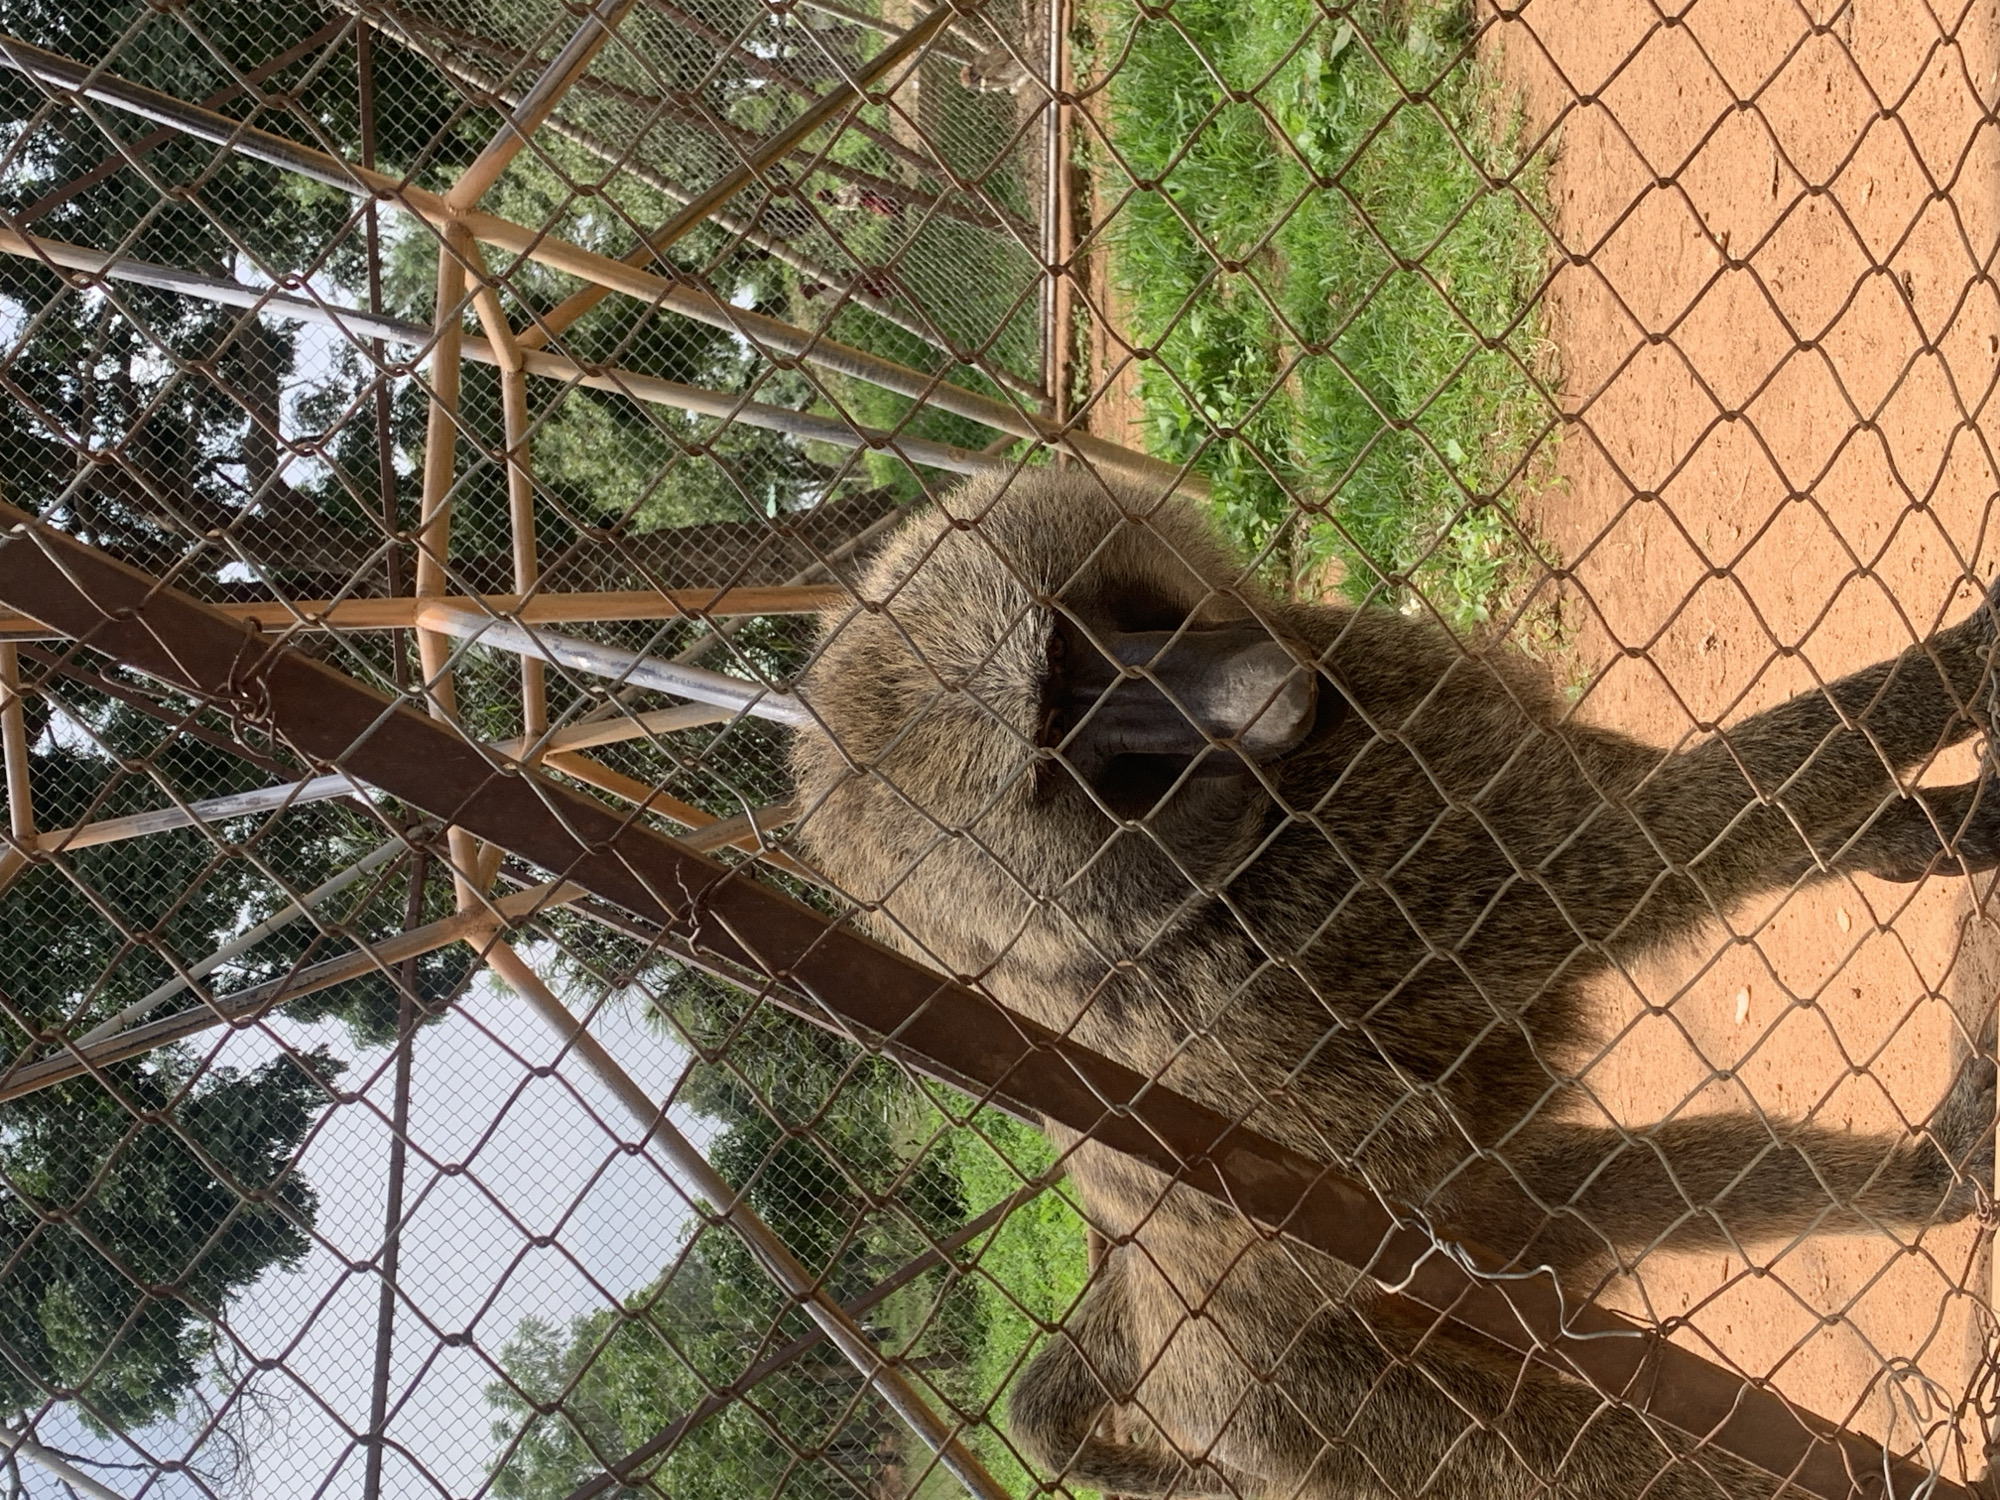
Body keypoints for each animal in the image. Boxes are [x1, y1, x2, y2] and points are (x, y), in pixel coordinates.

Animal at [787, 468, 2000, 1500]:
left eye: (1081, 650)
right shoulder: (1338, 876)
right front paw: (1972, 660)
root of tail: (1165, 1336)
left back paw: (1930, 1183)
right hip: (1291, 1408)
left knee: (1552, 1192)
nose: (1264, 691)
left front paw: (1920, 831)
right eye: (1063, 741)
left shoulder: (1365, 672)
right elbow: (1657, 843)